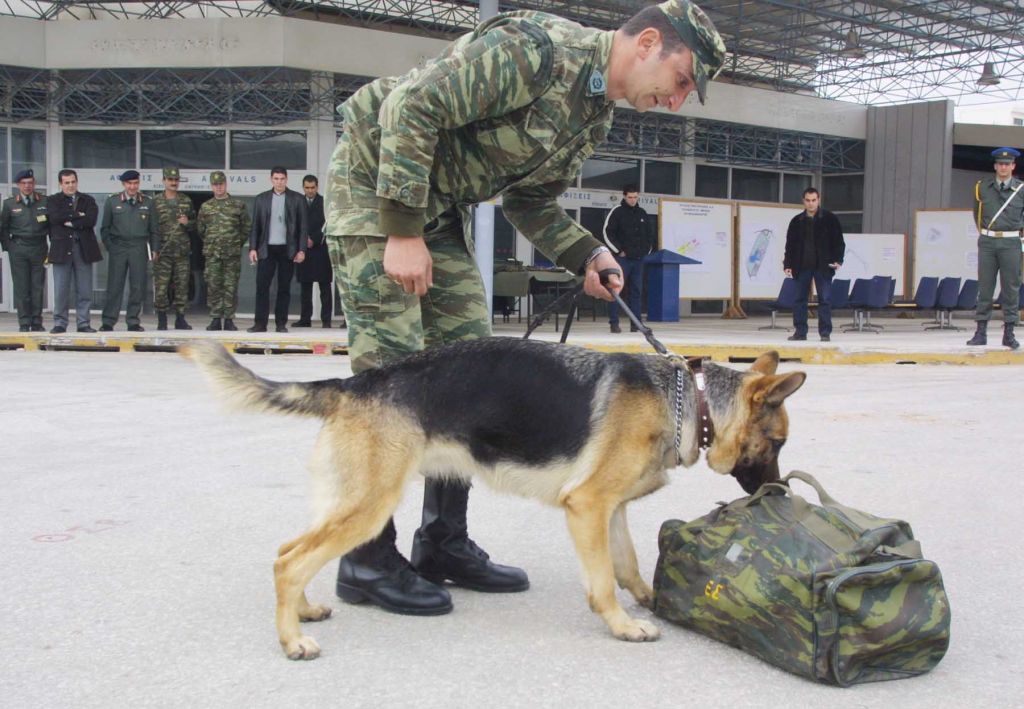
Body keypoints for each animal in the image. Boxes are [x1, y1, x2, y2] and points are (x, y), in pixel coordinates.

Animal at [186, 338, 806, 659]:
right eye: (777, 443)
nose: (777, 491)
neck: (685, 401)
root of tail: (356, 383)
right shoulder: (587, 506)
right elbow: (604, 581)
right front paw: (622, 626)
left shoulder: (611, 509)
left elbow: (628, 566)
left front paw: (652, 601)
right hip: (368, 506)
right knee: (289, 561)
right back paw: (292, 640)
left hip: (349, 500)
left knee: (291, 550)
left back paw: (304, 611)